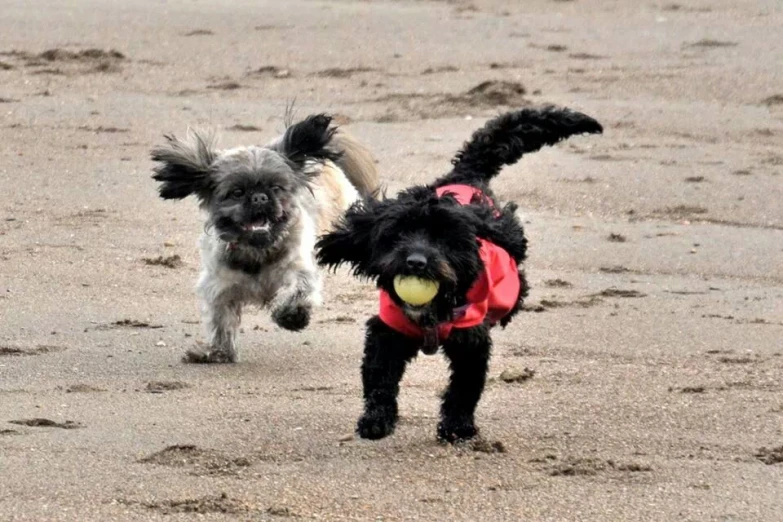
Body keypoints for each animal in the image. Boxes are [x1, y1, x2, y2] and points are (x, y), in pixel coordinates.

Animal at [153, 112, 380, 362]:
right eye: (237, 192)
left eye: (276, 187)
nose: (260, 197)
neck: (258, 251)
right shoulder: (219, 285)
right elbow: (221, 319)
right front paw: (218, 351)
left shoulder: (298, 268)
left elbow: (298, 291)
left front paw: (292, 316)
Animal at [316, 107, 604, 440]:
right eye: (398, 233)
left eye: (444, 237)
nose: (415, 262)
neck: (433, 310)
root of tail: (465, 178)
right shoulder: (387, 332)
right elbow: (379, 379)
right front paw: (377, 419)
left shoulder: (472, 343)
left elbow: (465, 387)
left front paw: (457, 426)